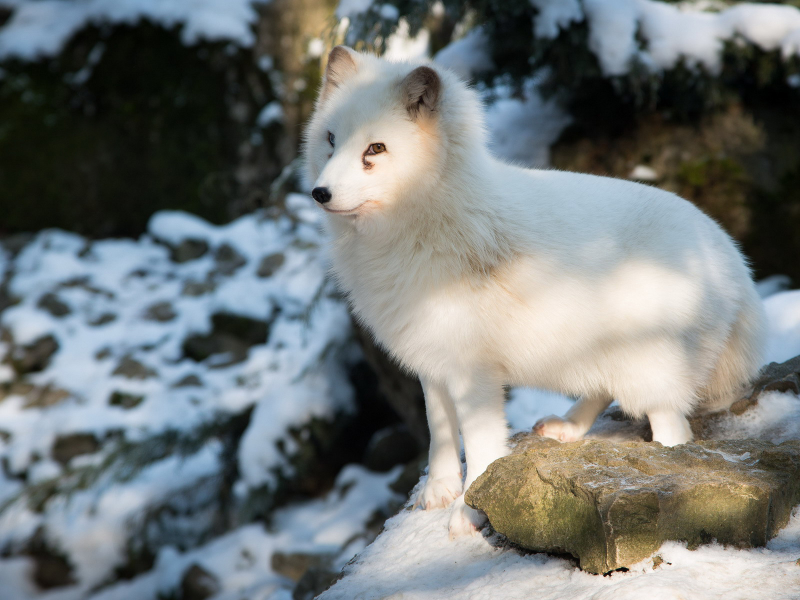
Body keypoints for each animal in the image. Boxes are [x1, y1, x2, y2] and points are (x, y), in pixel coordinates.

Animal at [304, 45, 764, 536]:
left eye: (375, 149)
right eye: (331, 139)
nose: (319, 193)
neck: (425, 223)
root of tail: (731, 256)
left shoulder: (474, 373)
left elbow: (480, 446)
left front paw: (468, 511)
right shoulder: (431, 360)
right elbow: (439, 430)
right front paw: (439, 492)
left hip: (652, 369)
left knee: (673, 429)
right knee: (603, 390)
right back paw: (567, 428)